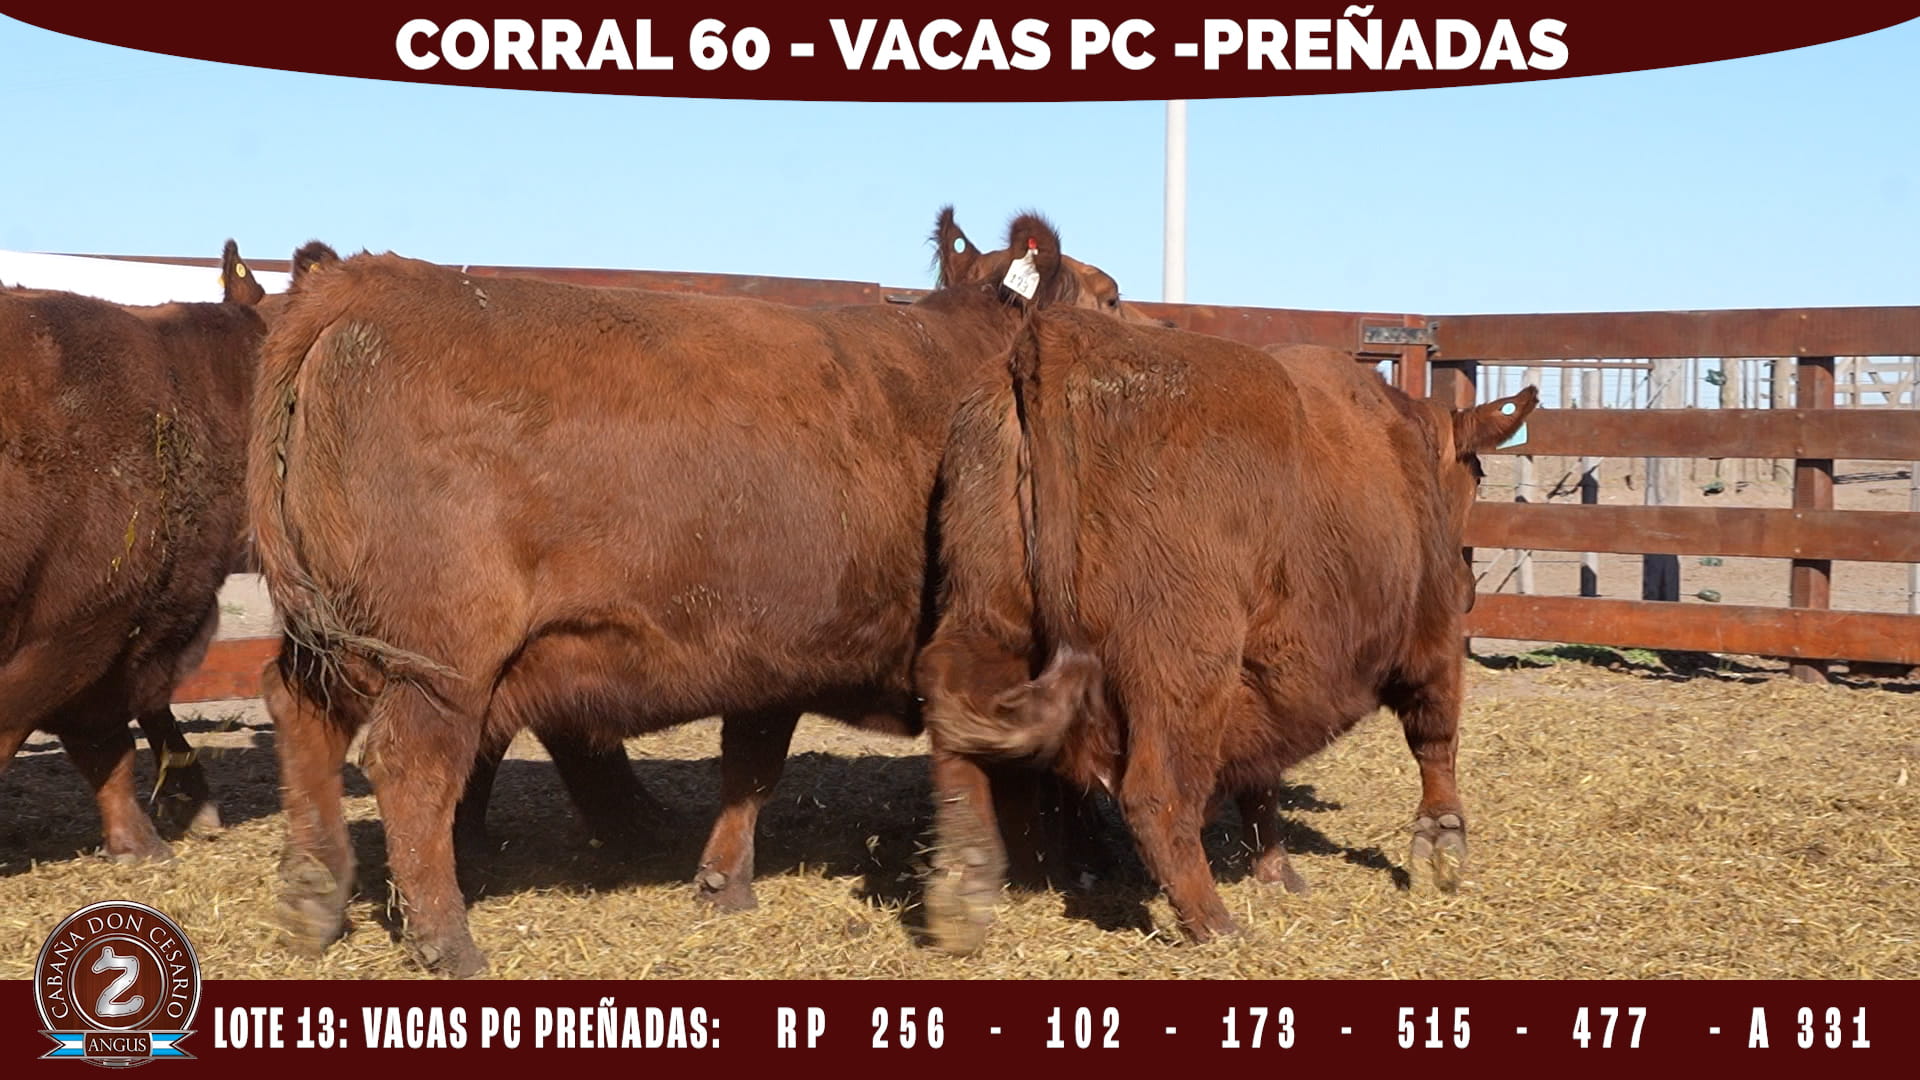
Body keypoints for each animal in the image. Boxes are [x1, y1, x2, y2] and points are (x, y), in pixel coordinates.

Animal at [249, 209, 1142, 976]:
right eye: (1111, 296)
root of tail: (371, 279)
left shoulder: (775, 652)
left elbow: (751, 764)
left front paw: (723, 881)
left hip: (338, 645)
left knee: (302, 714)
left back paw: (312, 896)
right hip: (441, 658)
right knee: (411, 765)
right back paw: (446, 939)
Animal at [916, 306, 1538, 954]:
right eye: (1477, 476)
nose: (1470, 588)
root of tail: (1066, 334)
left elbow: (1263, 779)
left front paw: (1277, 870)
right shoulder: (1431, 629)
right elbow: (1435, 735)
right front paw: (1442, 844)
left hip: (986, 618)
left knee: (956, 723)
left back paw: (961, 888)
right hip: (1183, 665)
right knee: (1156, 795)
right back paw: (1213, 923)